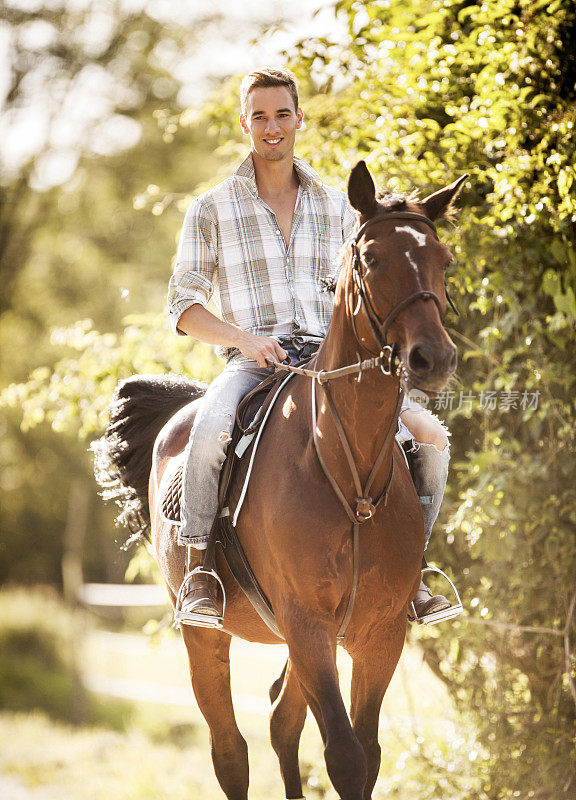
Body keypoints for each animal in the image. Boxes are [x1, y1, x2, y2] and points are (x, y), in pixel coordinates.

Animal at [97, 162, 466, 800]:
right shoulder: (308, 624)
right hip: (207, 638)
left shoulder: (378, 633)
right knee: (230, 750)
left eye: (441, 259)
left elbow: (367, 756)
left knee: (281, 721)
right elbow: (345, 757)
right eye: (371, 258)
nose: (432, 358)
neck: (346, 470)